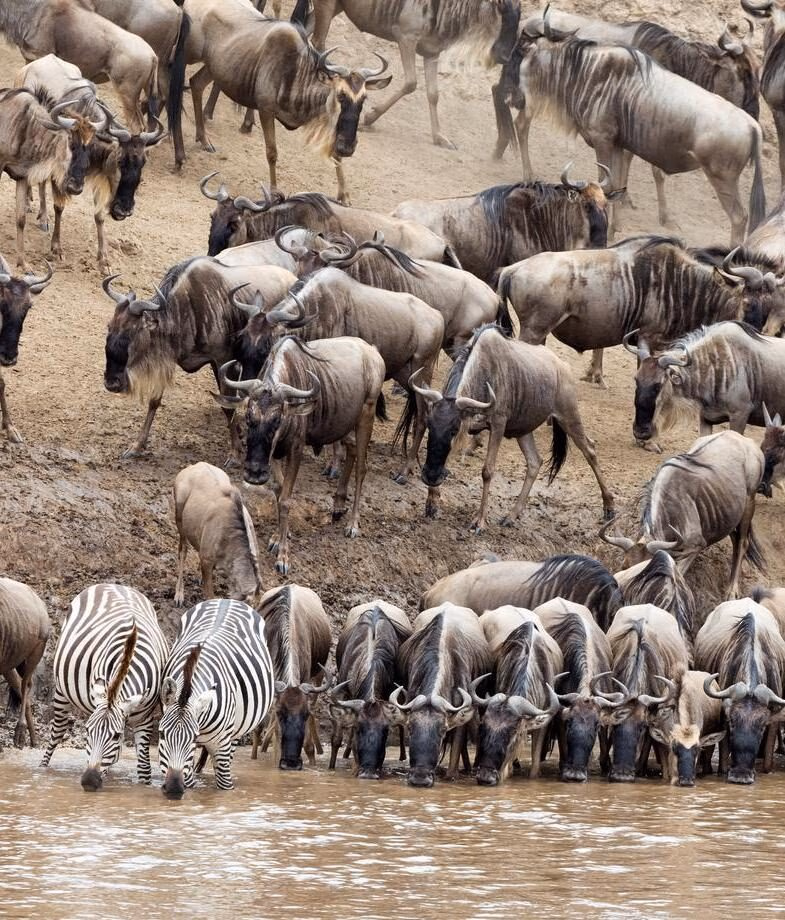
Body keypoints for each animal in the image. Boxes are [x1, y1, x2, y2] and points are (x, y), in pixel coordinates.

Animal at [40, 583, 169, 791]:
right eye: (87, 731)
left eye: (116, 736)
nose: (88, 781)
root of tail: (113, 584)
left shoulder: (144, 718)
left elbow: (143, 767)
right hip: (61, 690)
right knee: (56, 733)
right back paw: (42, 769)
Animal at [158, 598, 275, 798]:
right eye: (161, 734)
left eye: (193, 737)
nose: (173, 788)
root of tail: (226, 600)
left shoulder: (220, 745)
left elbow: (225, 784)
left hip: (236, 730)